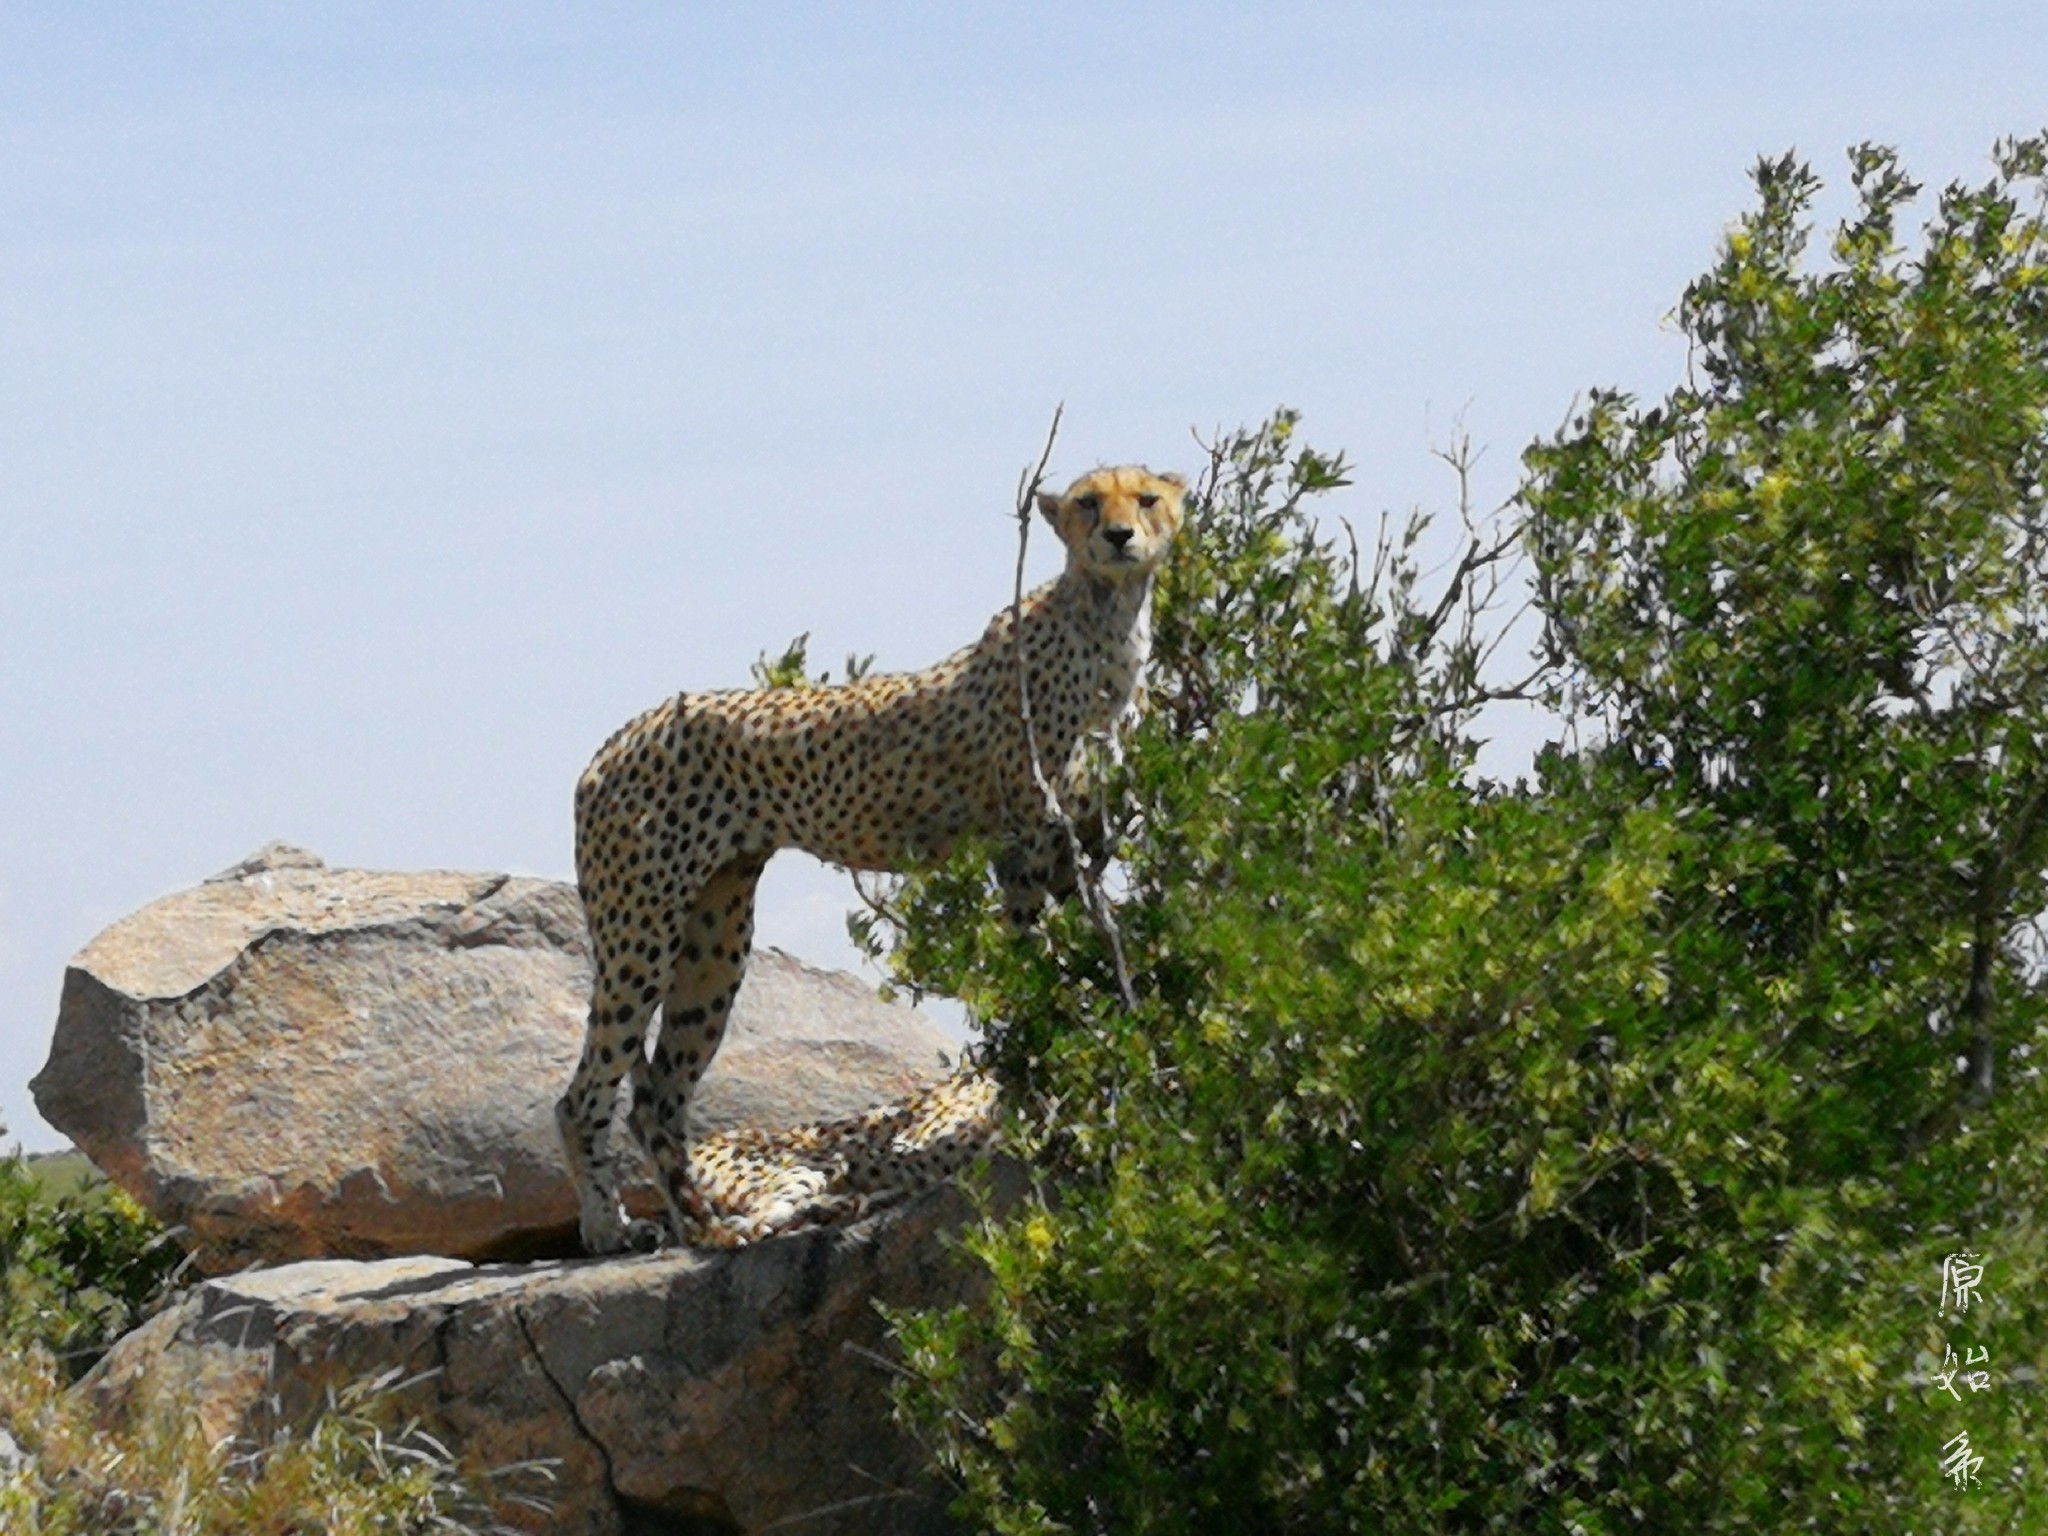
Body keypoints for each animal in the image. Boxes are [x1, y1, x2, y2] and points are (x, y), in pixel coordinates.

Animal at [561, 462, 1187, 1253]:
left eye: (1146, 498)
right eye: (1087, 502)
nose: (1119, 537)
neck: (1107, 617)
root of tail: (612, 742)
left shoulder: (1079, 853)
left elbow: (1089, 964)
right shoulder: (1022, 847)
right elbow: (1030, 981)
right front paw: (1040, 1100)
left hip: (715, 938)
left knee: (657, 1097)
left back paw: (706, 1226)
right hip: (641, 930)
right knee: (585, 1093)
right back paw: (610, 1229)